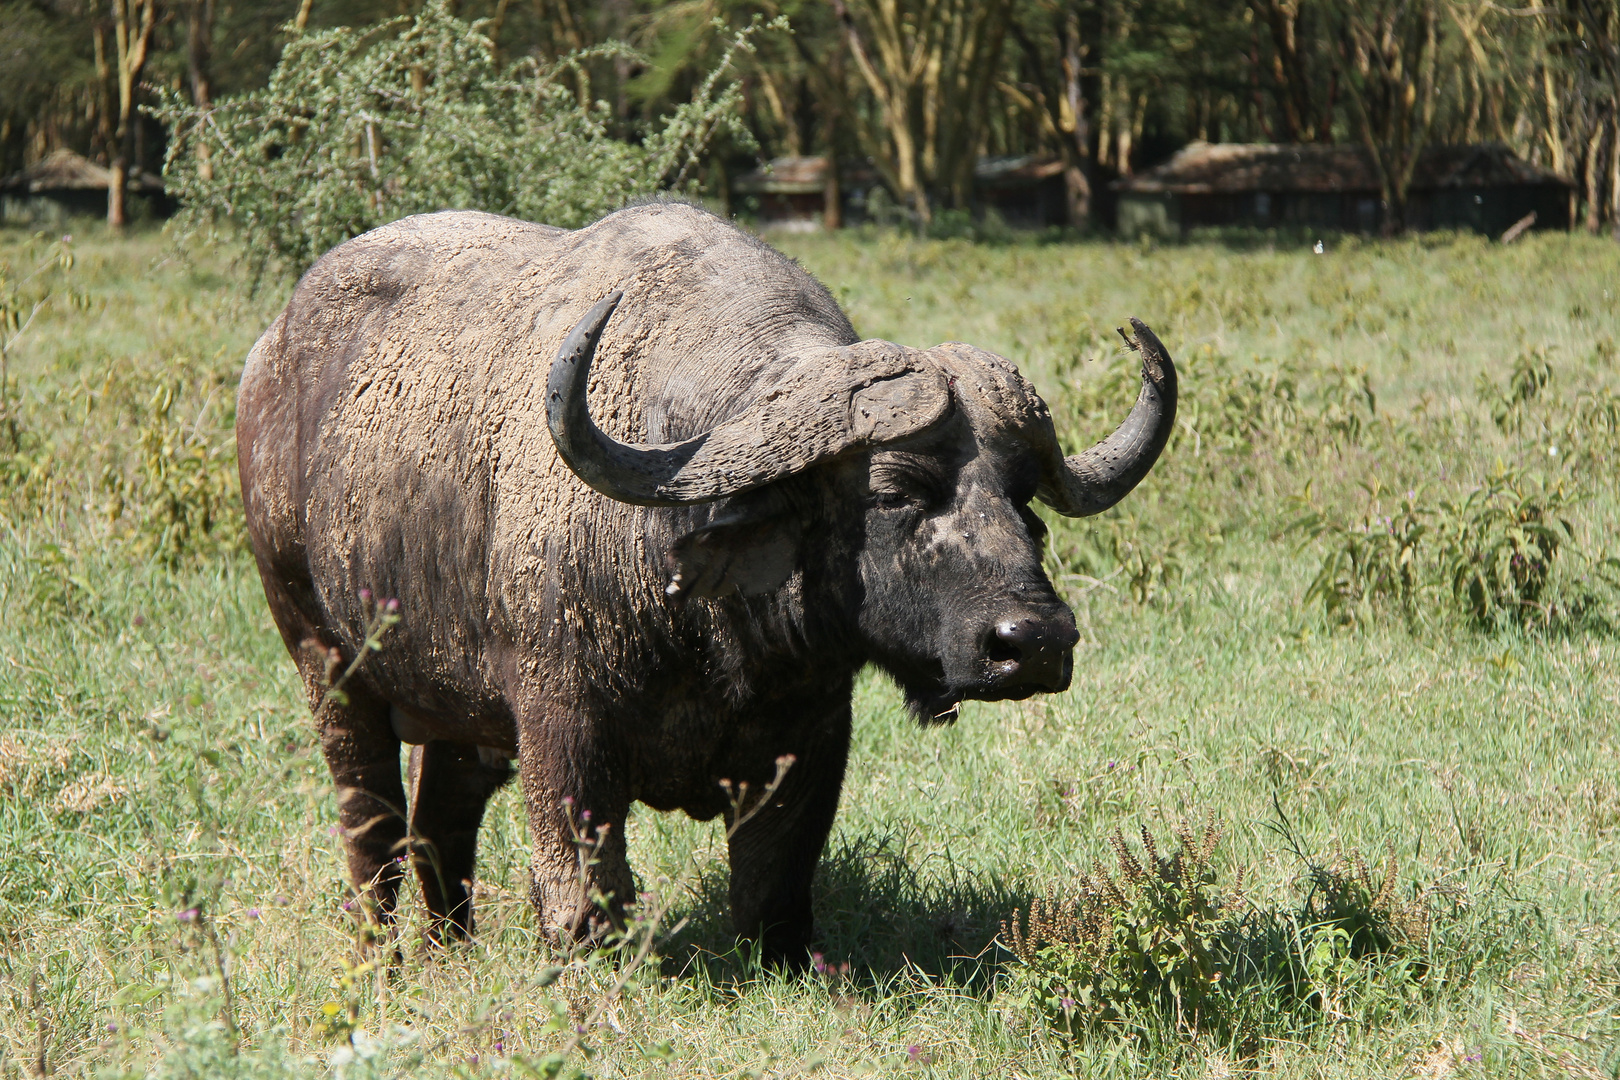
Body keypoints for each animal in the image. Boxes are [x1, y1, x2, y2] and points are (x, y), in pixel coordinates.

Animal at [239, 202, 1179, 965]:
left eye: (1024, 501)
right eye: (893, 490)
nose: (1034, 643)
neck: (707, 620)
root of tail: (271, 357)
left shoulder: (813, 734)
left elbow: (775, 887)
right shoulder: (560, 725)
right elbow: (583, 896)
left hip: (454, 707)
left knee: (443, 820)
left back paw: (449, 953)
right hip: (325, 660)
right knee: (373, 831)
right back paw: (383, 960)